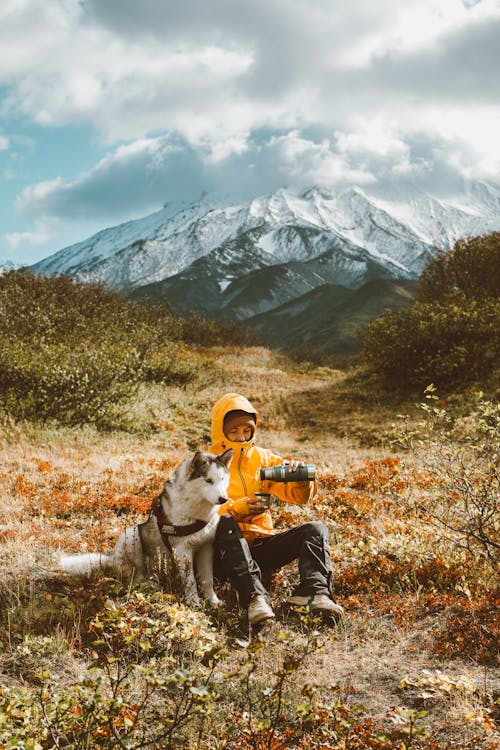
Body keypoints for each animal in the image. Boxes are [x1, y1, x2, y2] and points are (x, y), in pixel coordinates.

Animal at [59, 450, 233, 608]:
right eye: (208, 480)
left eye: (222, 479)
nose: (223, 499)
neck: (198, 513)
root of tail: (112, 559)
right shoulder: (183, 550)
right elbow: (190, 581)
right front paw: (194, 602)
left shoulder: (206, 547)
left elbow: (207, 579)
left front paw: (213, 601)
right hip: (131, 535)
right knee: (135, 577)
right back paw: (148, 584)